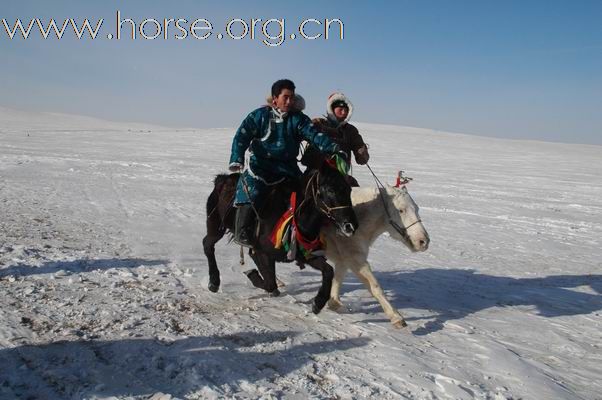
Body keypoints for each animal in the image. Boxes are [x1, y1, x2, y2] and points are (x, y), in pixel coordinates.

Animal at [202, 162, 356, 312]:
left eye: (349, 190)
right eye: (330, 190)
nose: (350, 225)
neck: (295, 215)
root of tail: (222, 179)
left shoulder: (305, 254)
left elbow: (328, 270)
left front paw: (318, 303)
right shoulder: (265, 252)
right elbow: (270, 284)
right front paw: (253, 275)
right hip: (215, 226)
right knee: (207, 244)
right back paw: (214, 282)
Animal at [322, 184, 428, 328]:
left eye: (417, 208)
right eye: (401, 210)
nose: (423, 241)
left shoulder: (345, 259)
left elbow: (337, 280)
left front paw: (334, 303)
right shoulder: (356, 259)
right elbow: (375, 286)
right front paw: (396, 317)